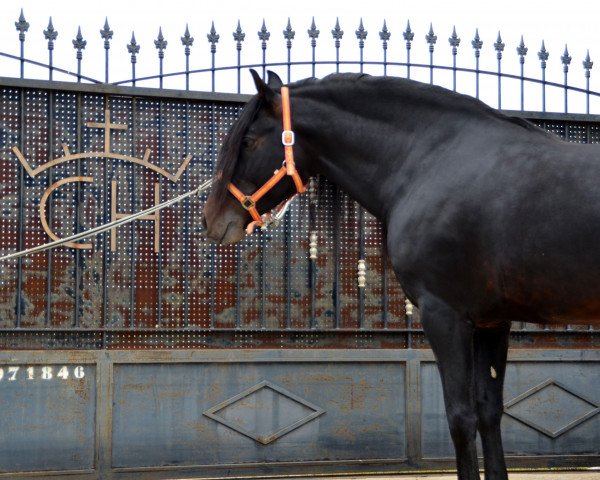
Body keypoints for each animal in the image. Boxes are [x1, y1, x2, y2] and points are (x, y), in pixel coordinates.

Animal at [204, 71, 600, 480]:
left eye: (247, 141)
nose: (210, 220)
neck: (431, 161)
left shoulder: (444, 315)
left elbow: (461, 417)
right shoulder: (492, 322)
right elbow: (489, 411)